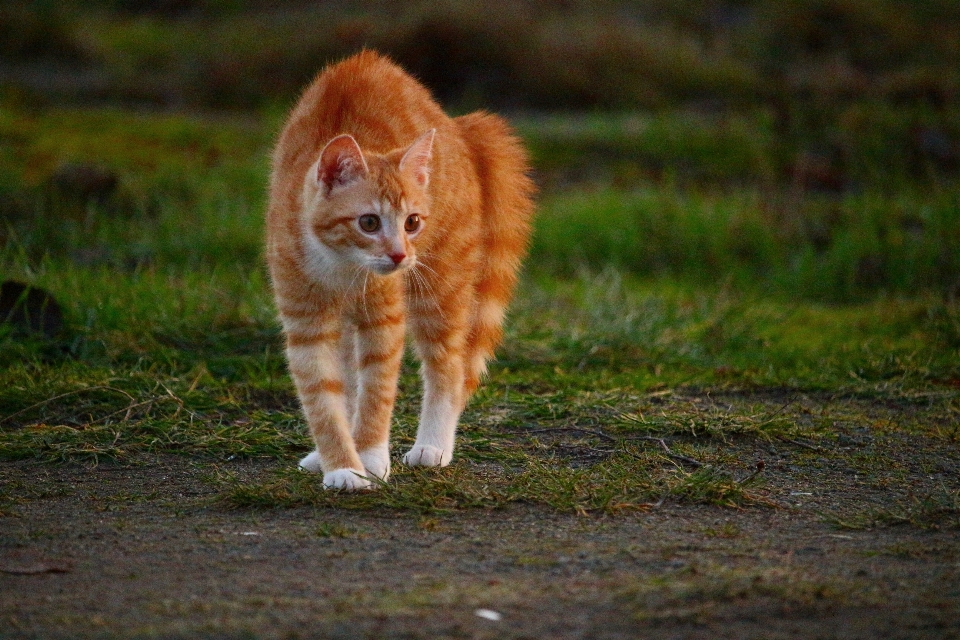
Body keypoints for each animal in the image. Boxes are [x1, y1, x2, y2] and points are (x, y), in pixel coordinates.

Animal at [266, 51, 536, 490]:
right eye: (369, 222)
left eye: (412, 222)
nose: (398, 256)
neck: (341, 265)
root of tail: (458, 126)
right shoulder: (306, 325)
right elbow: (323, 397)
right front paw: (341, 465)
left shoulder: (385, 319)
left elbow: (378, 390)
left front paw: (371, 456)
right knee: (350, 379)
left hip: (439, 286)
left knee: (448, 367)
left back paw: (433, 446)